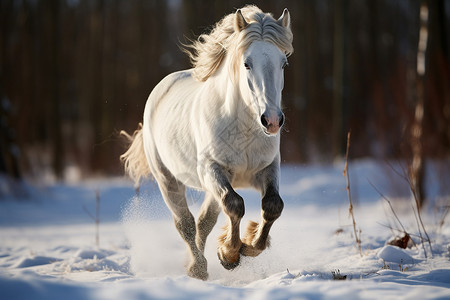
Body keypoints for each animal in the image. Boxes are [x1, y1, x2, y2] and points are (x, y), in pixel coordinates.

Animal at [121, 4, 294, 280]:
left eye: (283, 63)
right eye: (247, 63)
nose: (272, 120)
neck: (245, 129)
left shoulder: (267, 169)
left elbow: (272, 206)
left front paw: (248, 246)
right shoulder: (212, 168)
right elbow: (234, 205)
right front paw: (229, 254)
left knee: (204, 222)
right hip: (168, 180)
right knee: (186, 224)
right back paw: (198, 269)